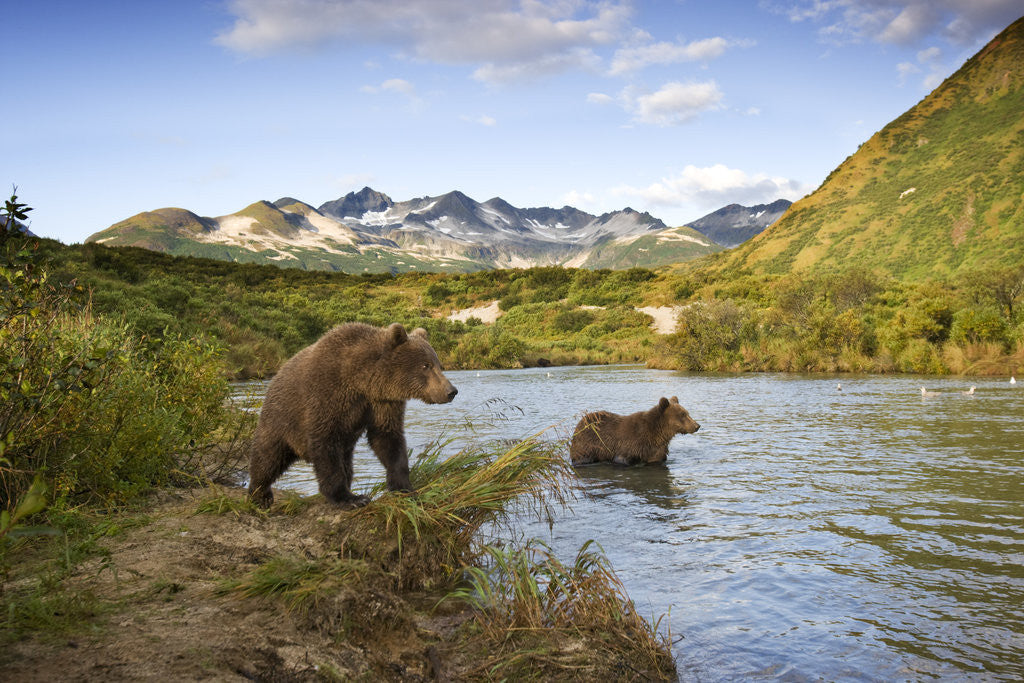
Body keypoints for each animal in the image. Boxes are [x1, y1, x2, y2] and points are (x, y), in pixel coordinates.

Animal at [247, 322, 458, 508]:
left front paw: (405, 488)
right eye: (425, 366)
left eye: (439, 365)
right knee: (268, 457)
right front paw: (351, 498)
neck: (361, 380)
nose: (451, 391)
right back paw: (259, 494)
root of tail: (275, 377)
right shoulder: (327, 395)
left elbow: (388, 439)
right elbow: (325, 444)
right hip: (281, 419)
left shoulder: (381, 402)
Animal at [569, 396, 700, 466]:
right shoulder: (631, 443)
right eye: (682, 414)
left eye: (687, 413)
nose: (697, 425)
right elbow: (622, 458)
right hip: (587, 444)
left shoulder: (656, 450)